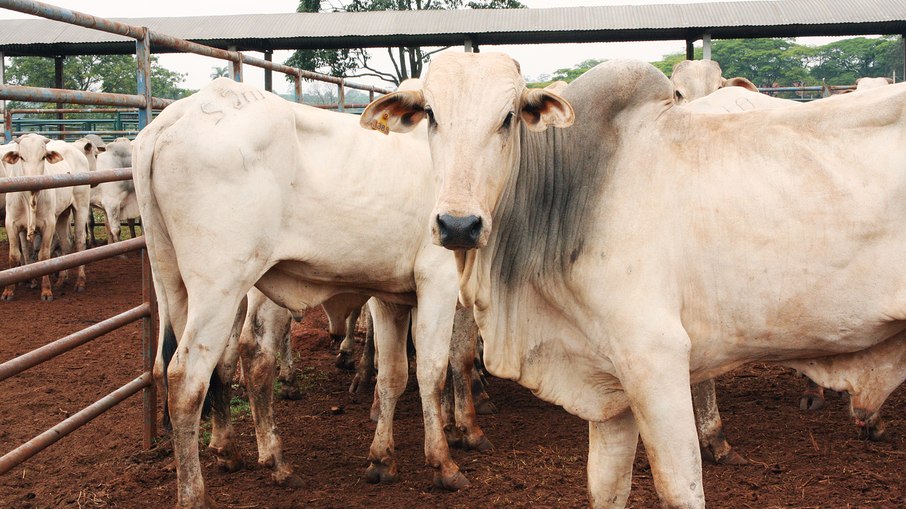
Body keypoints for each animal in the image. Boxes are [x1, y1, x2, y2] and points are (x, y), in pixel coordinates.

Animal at [1, 135, 90, 302]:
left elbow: (43, 256)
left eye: (43, 157)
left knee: (80, 241)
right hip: (62, 214)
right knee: (66, 243)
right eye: (21, 157)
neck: (30, 198)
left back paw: (80, 282)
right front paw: (8, 291)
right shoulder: (11, 224)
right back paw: (61, 280)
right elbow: (15, 255)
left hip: (81, 206)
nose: (34, 180)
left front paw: (46, 290)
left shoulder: (48, 224)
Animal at [364, 52, 904, 508]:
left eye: (508, 117)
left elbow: (679, 487)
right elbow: (605, 487)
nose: (458, 225)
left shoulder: (655, 359)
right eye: (432, 114)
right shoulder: (607, 386)